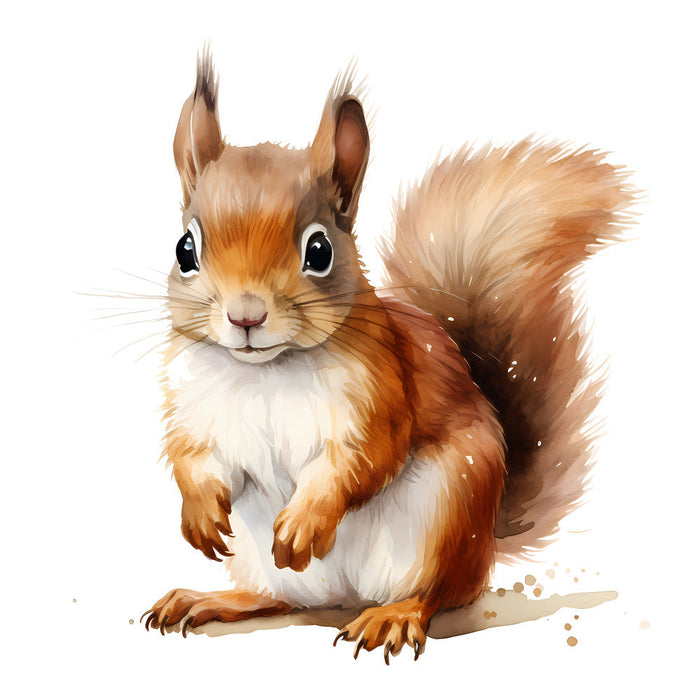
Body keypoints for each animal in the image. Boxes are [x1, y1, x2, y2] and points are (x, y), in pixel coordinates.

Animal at [141, 49, 633, 662]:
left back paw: (393, 616)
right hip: (265, 561)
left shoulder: (380, 392)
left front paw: (305, 522)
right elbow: (190, 456)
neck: (265, 372)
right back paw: (212, 599)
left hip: (445, 517)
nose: (246, 316)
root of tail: (347, 595)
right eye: (185, 249)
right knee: (280, 598)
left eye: (319, 250)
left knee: (436, 594)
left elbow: (363, 458)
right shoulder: (191, 404)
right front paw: (201, 513)